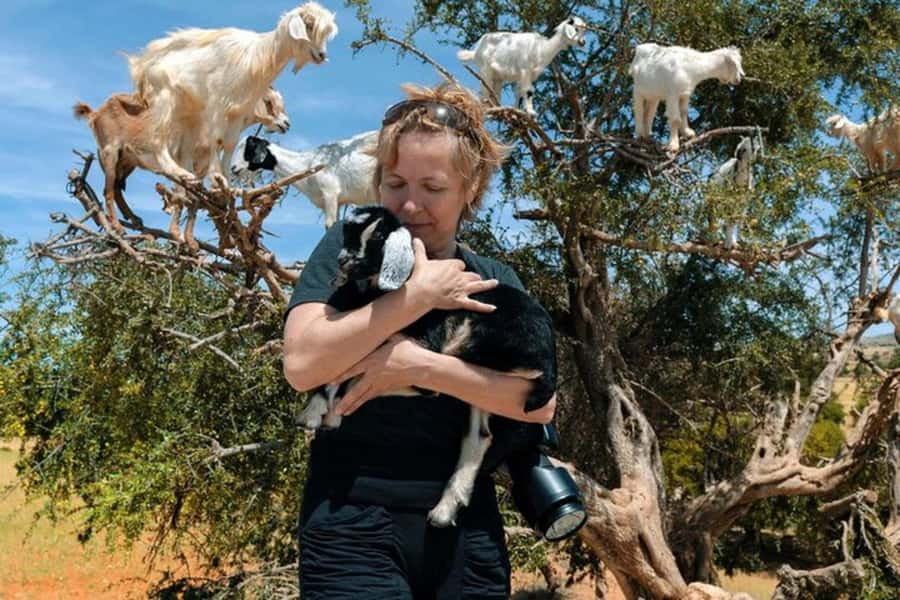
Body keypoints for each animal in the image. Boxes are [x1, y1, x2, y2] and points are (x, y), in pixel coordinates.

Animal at [73, 88, 291, 241]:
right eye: (268, 101)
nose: (286, 124)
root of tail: (96, 113)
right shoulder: (183, 159)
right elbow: (181, 196)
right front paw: (175, 234)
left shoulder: (200, 166)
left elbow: (193, 200)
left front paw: (190, 242)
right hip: (109, 153)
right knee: (108, 190)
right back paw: (118, 228)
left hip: (127, 160)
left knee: (118, 187)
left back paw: (134, 219)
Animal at [128, 2, 337, 180]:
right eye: (308, 25)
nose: (321, 55)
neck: (258, 58)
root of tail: (145, 64)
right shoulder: (217, 106)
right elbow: (216, 140)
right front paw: (216, 176)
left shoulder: (238, 111)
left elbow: (229, 143)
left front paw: (226, 179)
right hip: (165, 99)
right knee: (157, 137)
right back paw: (179, 172)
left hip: (190, 116)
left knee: (184, 151)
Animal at [230, 132, 377, 228]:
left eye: (249, 148)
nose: (233, 168)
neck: (306, 163)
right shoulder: (339, 201)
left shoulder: (330, 193)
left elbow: (329, 225)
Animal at [457, 17, 587, 116]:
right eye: (576, 28)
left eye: (583, 30)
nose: (583, 42)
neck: (541, 49)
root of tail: (476, 50)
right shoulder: (525, 70)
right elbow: (528, 91)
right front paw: (531, 112)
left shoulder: (528, 75)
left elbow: (519, 93)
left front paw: (518, 111)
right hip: (485, 69)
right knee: (484, 88)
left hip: (498, 77)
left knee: (494, 92)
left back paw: (498, 109)